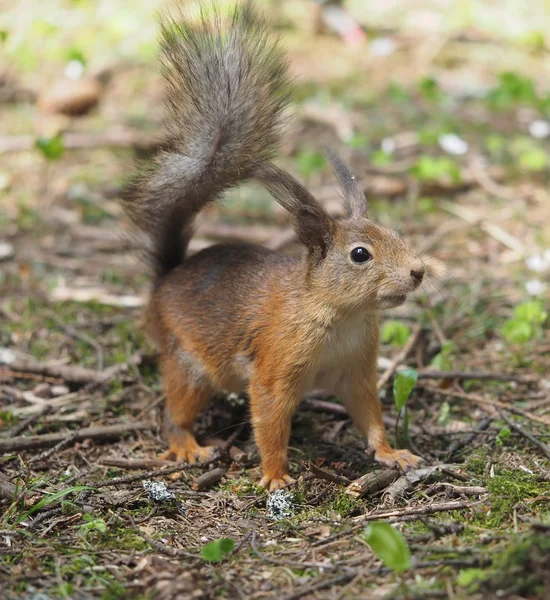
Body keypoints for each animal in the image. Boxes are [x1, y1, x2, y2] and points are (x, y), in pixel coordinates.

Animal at [125, 1, 426, 488]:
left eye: (396, 234)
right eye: (360, 254)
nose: (418, 272)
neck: (341, 316)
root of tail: (165, 279)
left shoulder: (357, 372)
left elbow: (370, 414)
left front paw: (391, 453)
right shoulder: (274, 366)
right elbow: (269, 419)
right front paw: (275, 476)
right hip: (188, 363)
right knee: (175, 412)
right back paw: (187, 445)